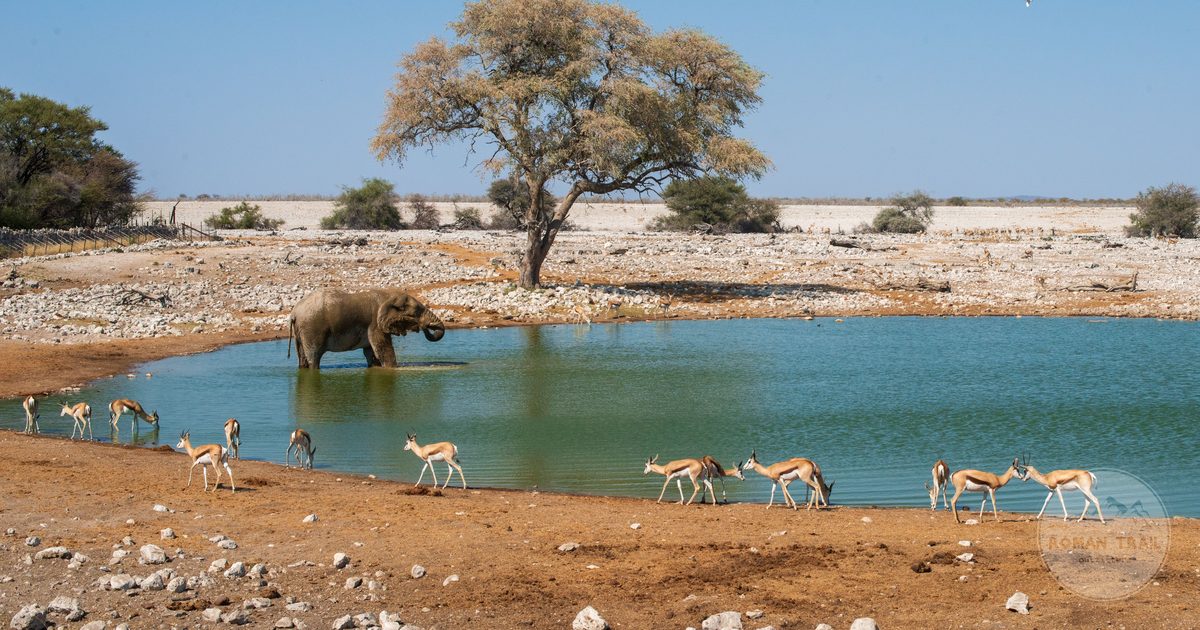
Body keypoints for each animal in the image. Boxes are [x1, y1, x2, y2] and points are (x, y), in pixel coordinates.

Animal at [288, 288, 445, 369]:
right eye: (416, 313)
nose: (425, 327)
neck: (389, 295)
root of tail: (294, 313)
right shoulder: (375, 324)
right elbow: (384, 351)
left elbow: (371, 353)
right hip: (311, 329)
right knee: (314, 357)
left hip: (301, 331)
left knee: (302, 357)